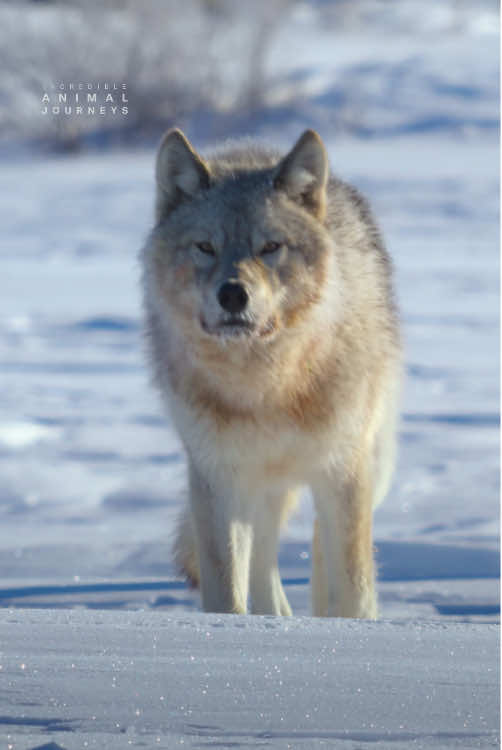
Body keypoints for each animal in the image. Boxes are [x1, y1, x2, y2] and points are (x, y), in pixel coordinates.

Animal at [140, 129, 400, 620]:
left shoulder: (344, 473)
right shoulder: (218, 480)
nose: (232, 294)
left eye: (269, 247)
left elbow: (355, 589)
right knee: (263, 556)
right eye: (206, 247)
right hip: (258, 489)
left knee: (320, 544)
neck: (266, 385)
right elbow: (226, 592)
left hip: (370, 468)